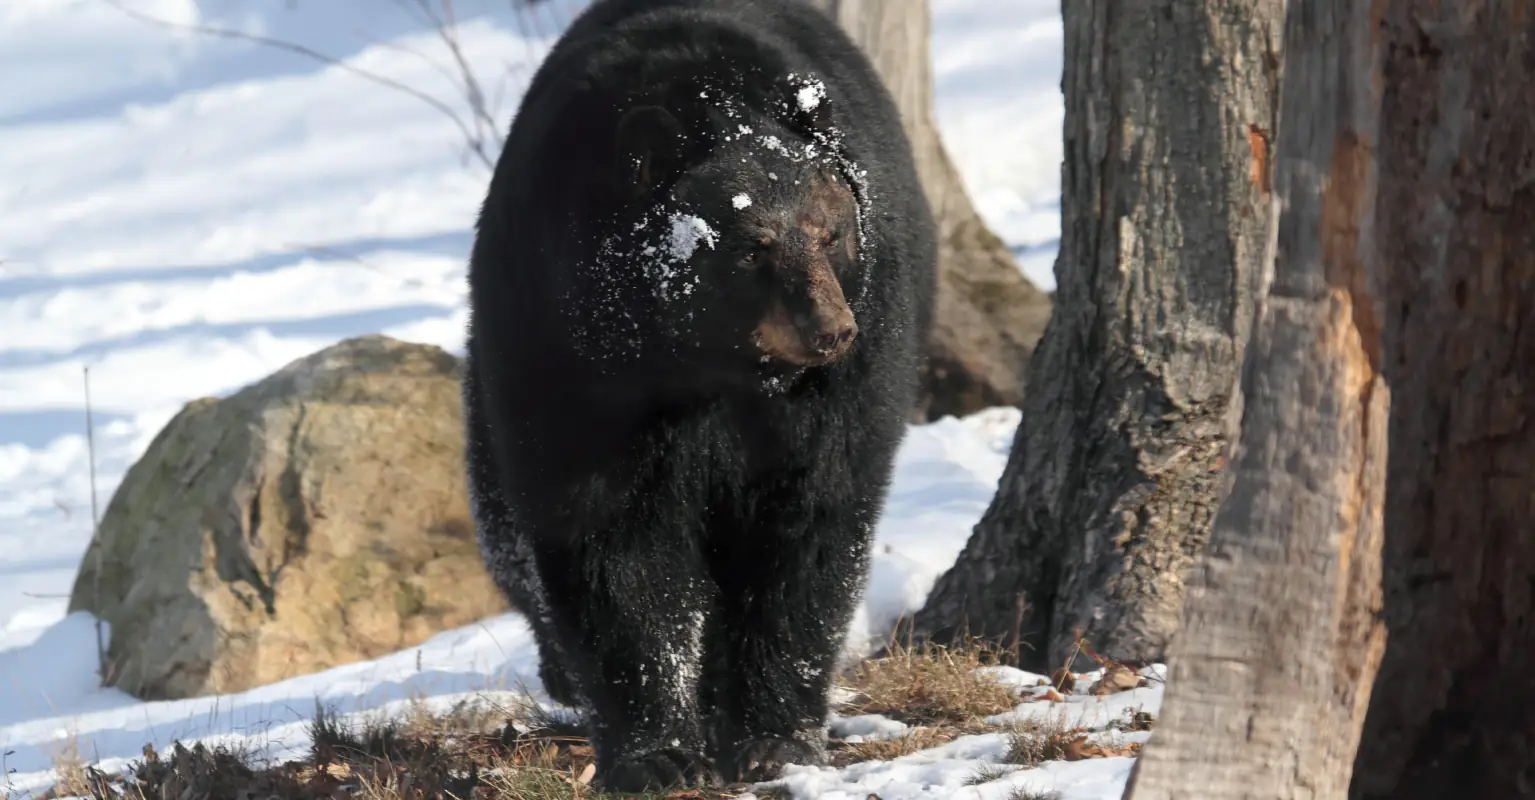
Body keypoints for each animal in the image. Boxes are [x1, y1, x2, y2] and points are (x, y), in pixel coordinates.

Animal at [461, 0, 936, 791]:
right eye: (751, 244)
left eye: (829, 231)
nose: (831, 329)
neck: (708, 366)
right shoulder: (572, 353)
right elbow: (611, 539)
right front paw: (657, 753)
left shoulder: (843, 380)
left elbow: (810, 522)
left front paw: (774, 739)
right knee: (505, 533)